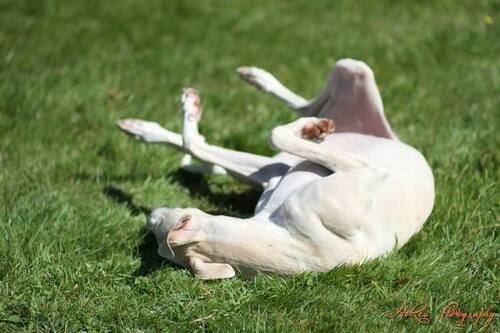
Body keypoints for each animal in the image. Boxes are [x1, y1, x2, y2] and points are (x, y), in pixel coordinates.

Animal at [117, 59, 434, 278]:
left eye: (157, 227)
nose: (150, 215)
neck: (292, 242)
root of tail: (392, 137)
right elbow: (270, 134)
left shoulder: (369, 171)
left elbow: (274, 133)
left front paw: (309, 130)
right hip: (275, 166)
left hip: (351, 74)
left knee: (306, 107)